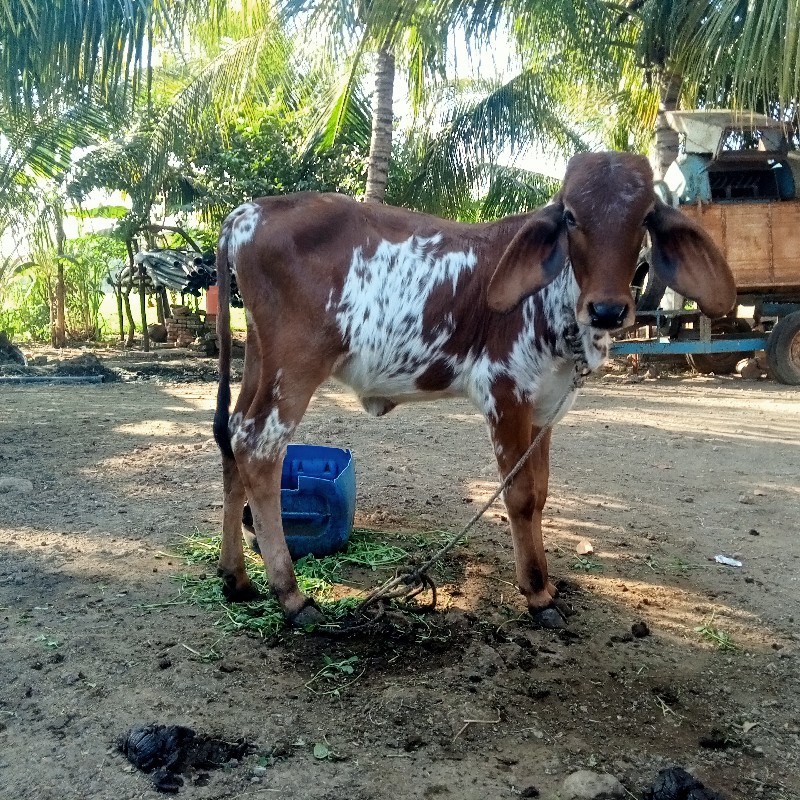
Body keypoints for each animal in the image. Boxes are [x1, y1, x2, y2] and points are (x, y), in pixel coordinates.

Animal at [214, 148, 736, 624]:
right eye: (570, 215)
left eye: (645, 216)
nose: (607, 309)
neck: (558, 302)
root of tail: (249, 213)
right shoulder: (505, 393)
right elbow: (519, 496)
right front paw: (538, 594)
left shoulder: (544, 410)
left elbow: (540, 493)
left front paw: (543, 581)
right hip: (295, 367)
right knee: (258, 448)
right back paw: (291, 595)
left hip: (259, 359)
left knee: (231, 436)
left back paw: (236, 578)